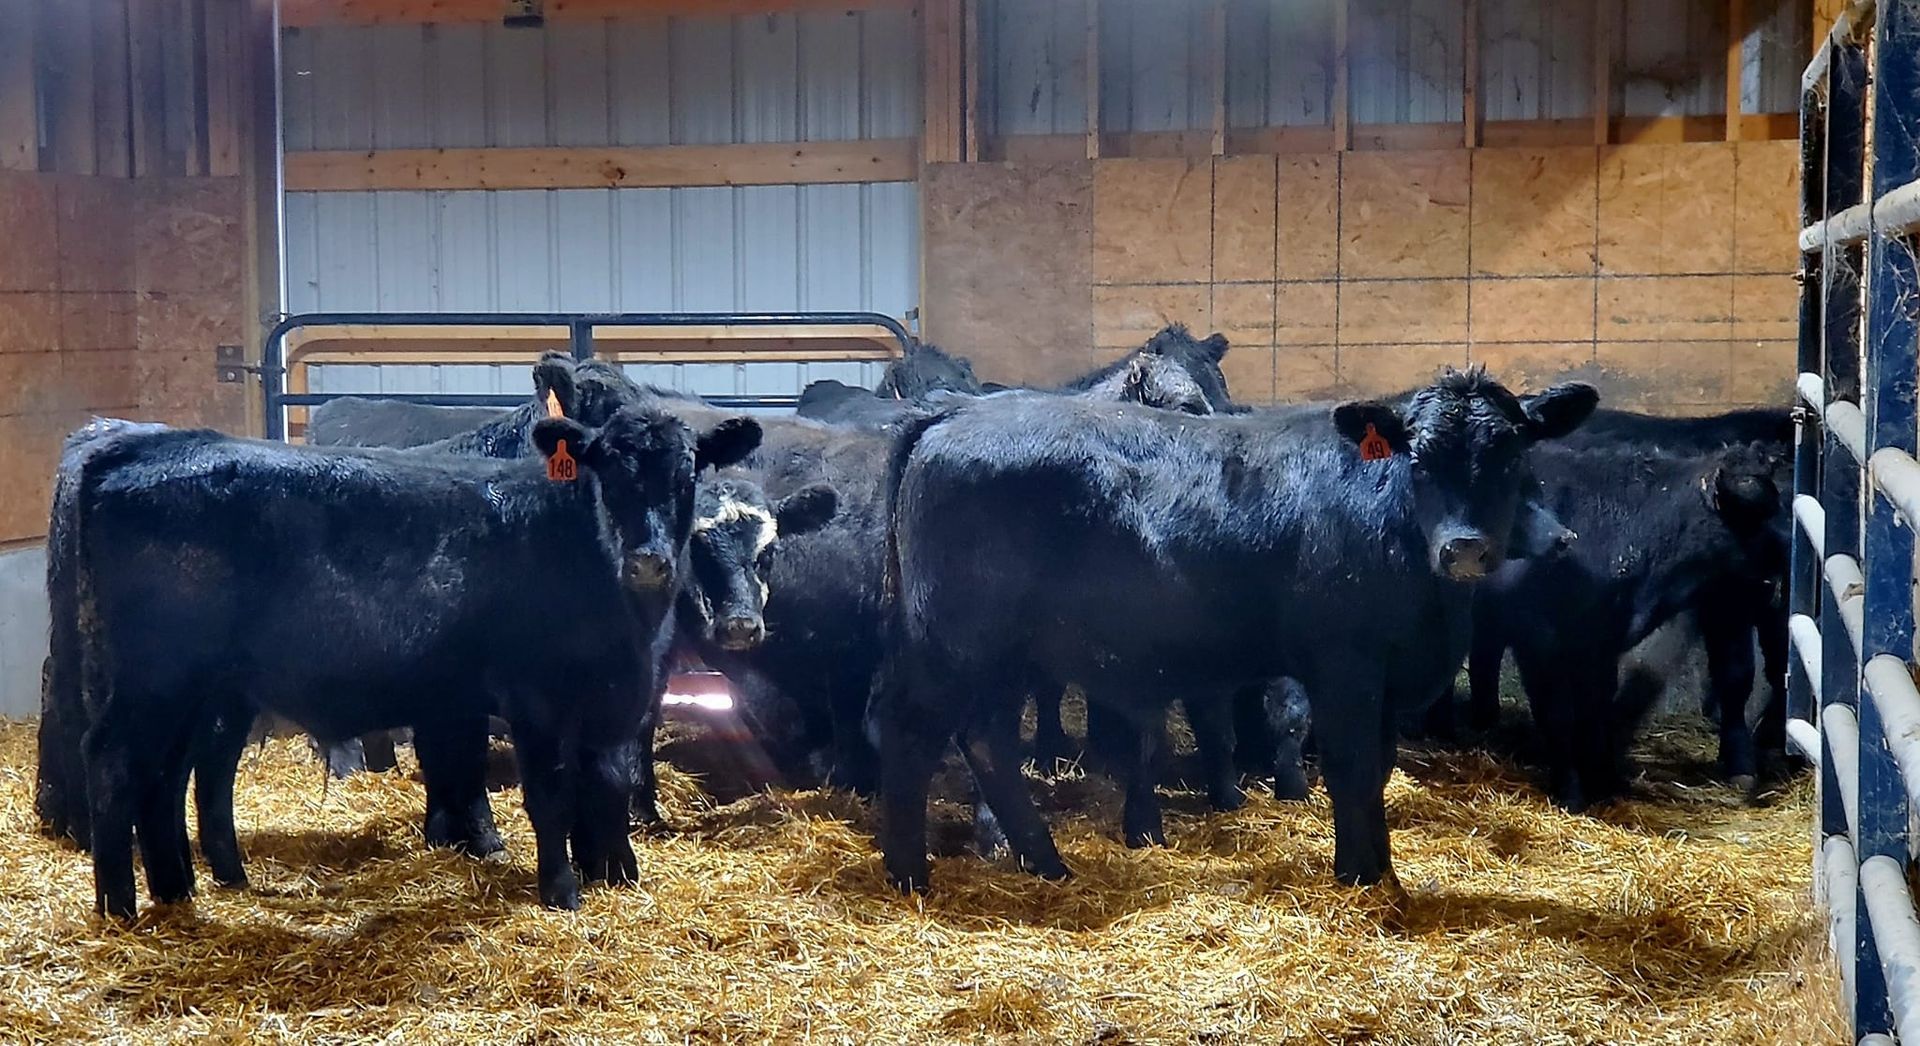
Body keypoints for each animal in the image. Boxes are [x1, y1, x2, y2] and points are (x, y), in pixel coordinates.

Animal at [877, 368, 1597, 892]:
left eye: (1513, 459)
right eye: (1417, 460)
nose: (1466, 548)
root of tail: (955, 413)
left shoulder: (1387, 679)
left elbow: (1379, 769)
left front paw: (1382, 872)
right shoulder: (1345, 665)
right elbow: (1352, 767)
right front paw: (1362, 879)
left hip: (1006, 654)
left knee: (987, 741)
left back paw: (1045, 865)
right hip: (957, 643)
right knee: (913, 736)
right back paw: (911, 876)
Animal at [1476, 441, 1785, 809]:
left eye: (1775, 500)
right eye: (1747, 506)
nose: (1786, 552)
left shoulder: (1600, 641)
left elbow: (1596, 705)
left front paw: (1601, 774)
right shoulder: (1540, 640)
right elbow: (1558, 714)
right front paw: (1571, 790)